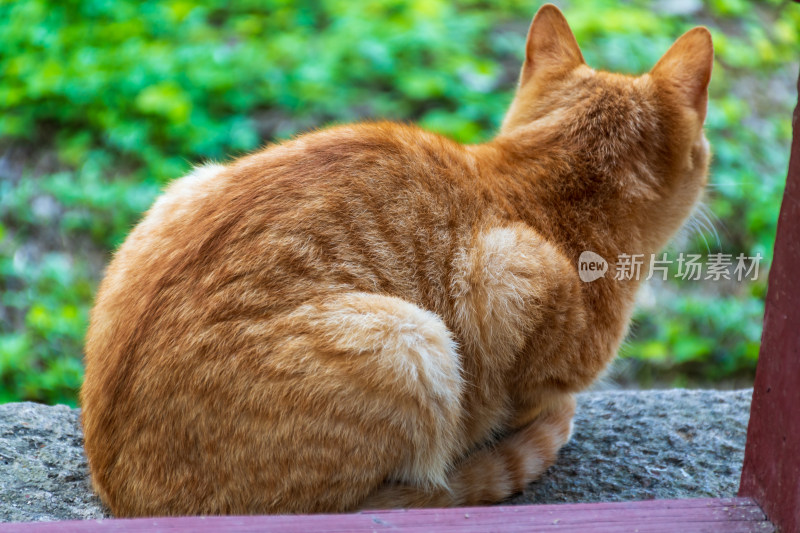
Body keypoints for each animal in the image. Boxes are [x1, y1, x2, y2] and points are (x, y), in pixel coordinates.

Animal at [81, 5, 712, 516]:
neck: (543, 190)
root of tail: (127, 497)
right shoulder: (512, 270)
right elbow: (531, 388)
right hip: (413, 341)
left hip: (185, 188)